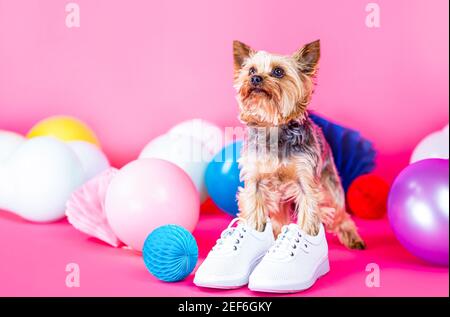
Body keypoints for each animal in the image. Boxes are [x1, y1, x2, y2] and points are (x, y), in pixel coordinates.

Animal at [234, 39, 364, 248]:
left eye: (278, 71)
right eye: (251, 70)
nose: (255, 79)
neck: (273, 126)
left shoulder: (306, 181)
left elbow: (309, 214)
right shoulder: (255, 181)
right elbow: (254, 212)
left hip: (329, 187)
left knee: (339, 212)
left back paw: (353, 237)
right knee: (279, 218)